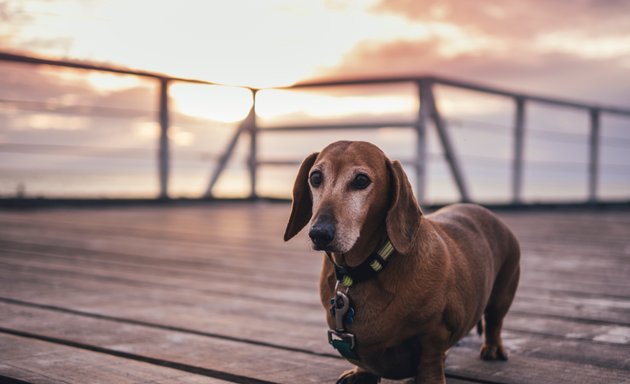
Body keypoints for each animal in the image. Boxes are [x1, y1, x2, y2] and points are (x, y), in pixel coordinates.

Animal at [284, 142, 520, 384]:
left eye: (361, 180)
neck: (362, 271)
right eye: (315, 177)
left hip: (503, 292)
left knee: (494, 321)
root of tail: (486, 212)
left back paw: (493, 348)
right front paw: (360, 373)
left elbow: (430, 361)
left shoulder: (435, 332)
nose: (319, 234)